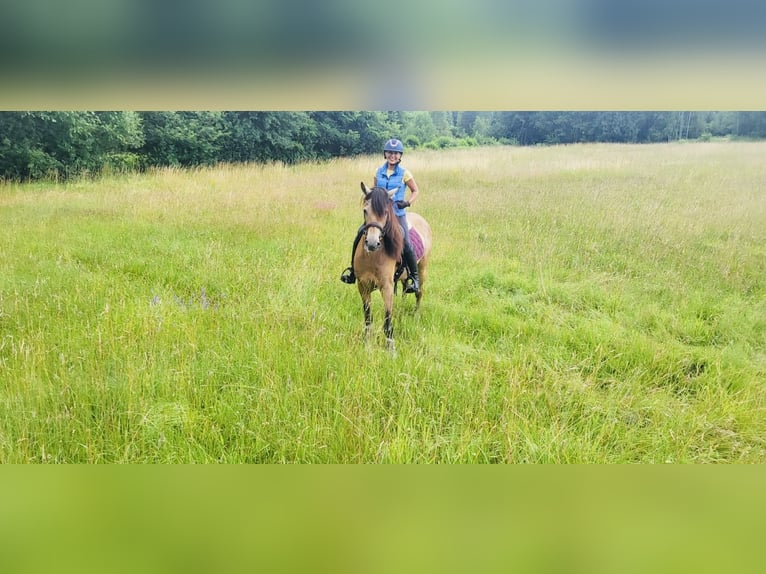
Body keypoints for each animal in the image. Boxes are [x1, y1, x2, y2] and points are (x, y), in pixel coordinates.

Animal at [352, 183, 432, 352]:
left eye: (386, 212)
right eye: (365, 210)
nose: (372, 243)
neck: (373, 256)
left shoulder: (387, 287)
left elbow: (388, 320)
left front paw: (391, 349)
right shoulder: (363, 285)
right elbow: (368, 318)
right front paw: (367, 344)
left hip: (422, 269)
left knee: (419, 292)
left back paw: (416, 315)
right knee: (404, 289)